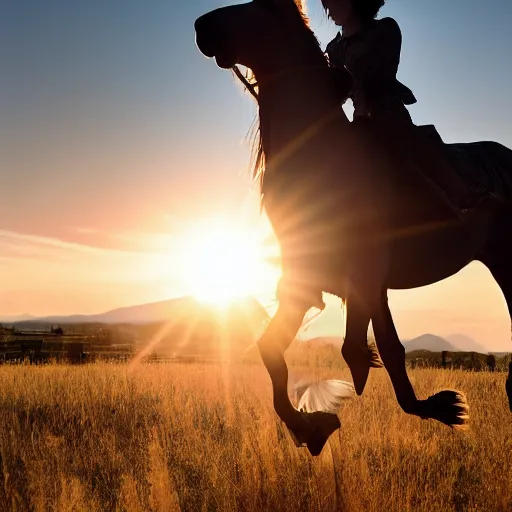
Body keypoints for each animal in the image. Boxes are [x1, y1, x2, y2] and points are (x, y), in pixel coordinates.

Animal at [193, 0, 512, 456]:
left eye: (261, 7)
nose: (202, 26)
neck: (319, 156)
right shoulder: (310, 280)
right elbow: (278, 350)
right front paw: (313, 427)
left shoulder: (364, 272)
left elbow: (363, 349)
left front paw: (440, 405)